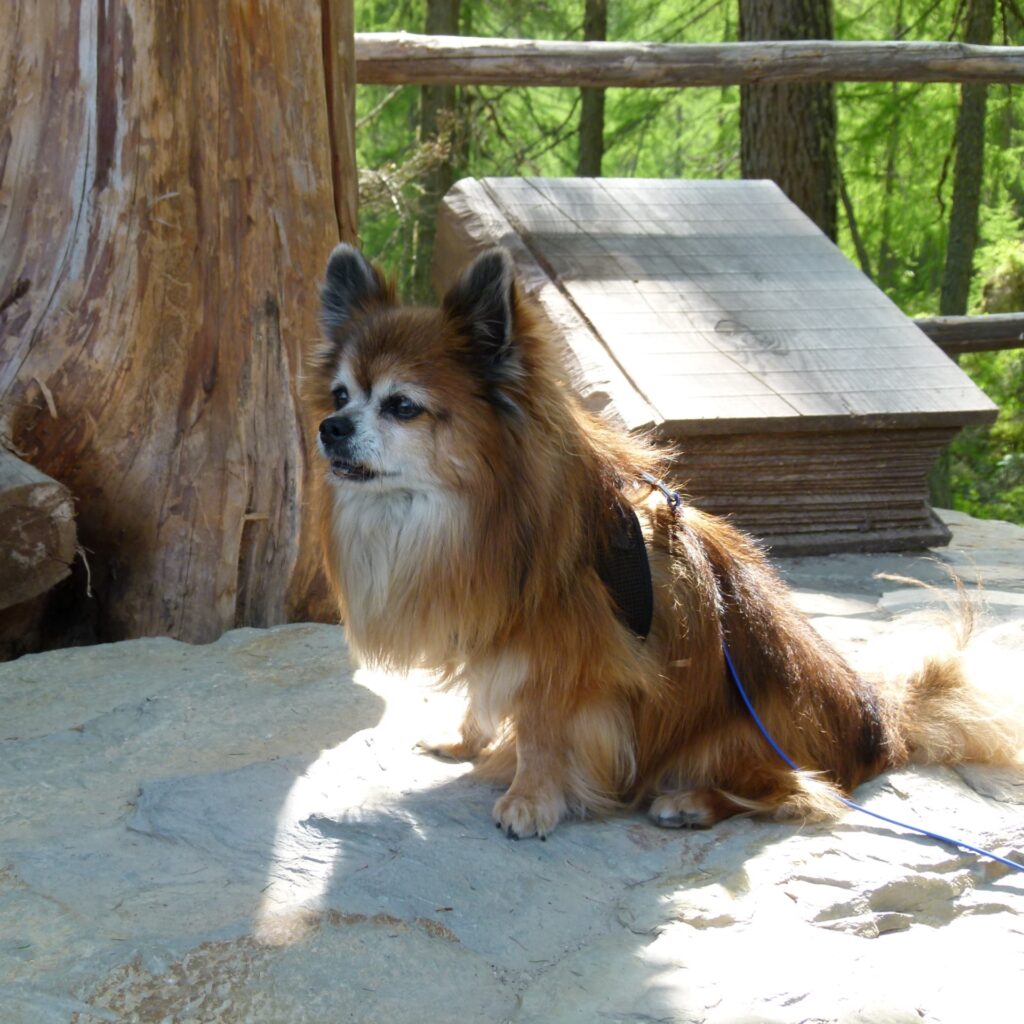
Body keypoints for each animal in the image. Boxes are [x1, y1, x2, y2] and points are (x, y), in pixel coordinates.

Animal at [309, 243, 1023, 839]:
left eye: (402, 406)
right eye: (341, 394)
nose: (328, 427)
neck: (476, 508)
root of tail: (878, 727)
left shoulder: (564, 656)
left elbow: (541, 730)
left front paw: (531, 800)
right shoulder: (500, 626)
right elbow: (485, 696)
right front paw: (465, 740)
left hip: (743, 729)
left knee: (793, 790)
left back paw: (689, 802)